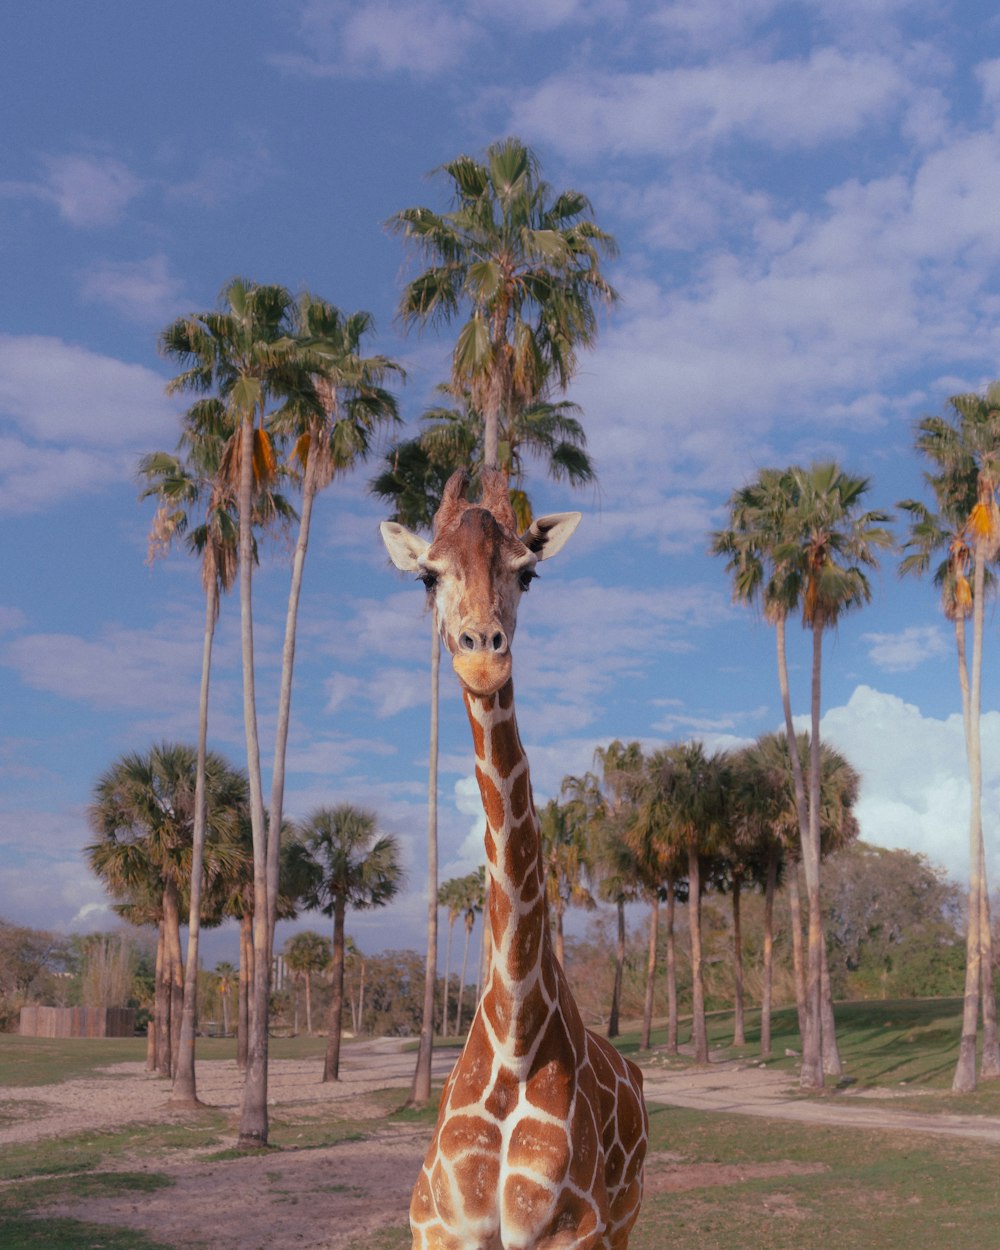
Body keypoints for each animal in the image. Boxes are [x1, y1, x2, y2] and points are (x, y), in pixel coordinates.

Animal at [382, 470, 650, 1250]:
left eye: (526, 573)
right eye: (427, 575)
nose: (481, 652)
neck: (515, 1035)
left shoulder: (571, 1230)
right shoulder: (442, 1226)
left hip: (627, 1216)